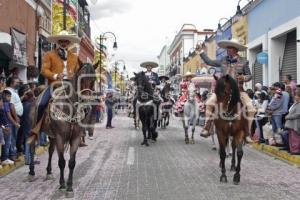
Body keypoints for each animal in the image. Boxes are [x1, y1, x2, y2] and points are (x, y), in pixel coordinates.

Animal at [27, 63, 96, 198]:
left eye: (94, 80)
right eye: (80, 79)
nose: (87, 107)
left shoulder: (75, 138)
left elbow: (71, 162)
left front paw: (69, 187)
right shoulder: (60, 137)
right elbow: (62, 162)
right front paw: (62, 185)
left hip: (52, 135)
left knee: (50, 151)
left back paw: (49, 172)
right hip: (35, 129)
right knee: (32, 148)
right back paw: (31, 172)